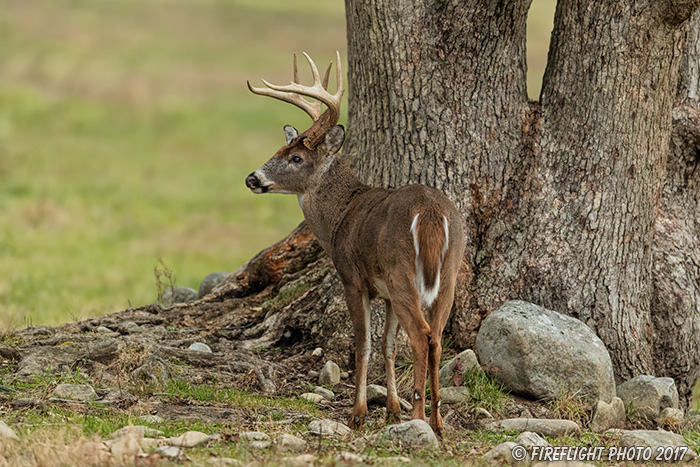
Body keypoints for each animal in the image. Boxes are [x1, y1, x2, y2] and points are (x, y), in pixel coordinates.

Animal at [245, 52, 464, 438]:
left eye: (296, 158)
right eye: (280, 148)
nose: (252, 178)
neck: (339, 216)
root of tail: (431, 213)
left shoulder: (352, 277)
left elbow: (363, 344)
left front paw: (358, 414)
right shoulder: (386, 294)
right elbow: (387, 345)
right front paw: (391, 409)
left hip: (401, 270)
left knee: (422, 336)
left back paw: (419, 418)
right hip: (449, 272)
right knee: (436, 337)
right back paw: (437, 422)